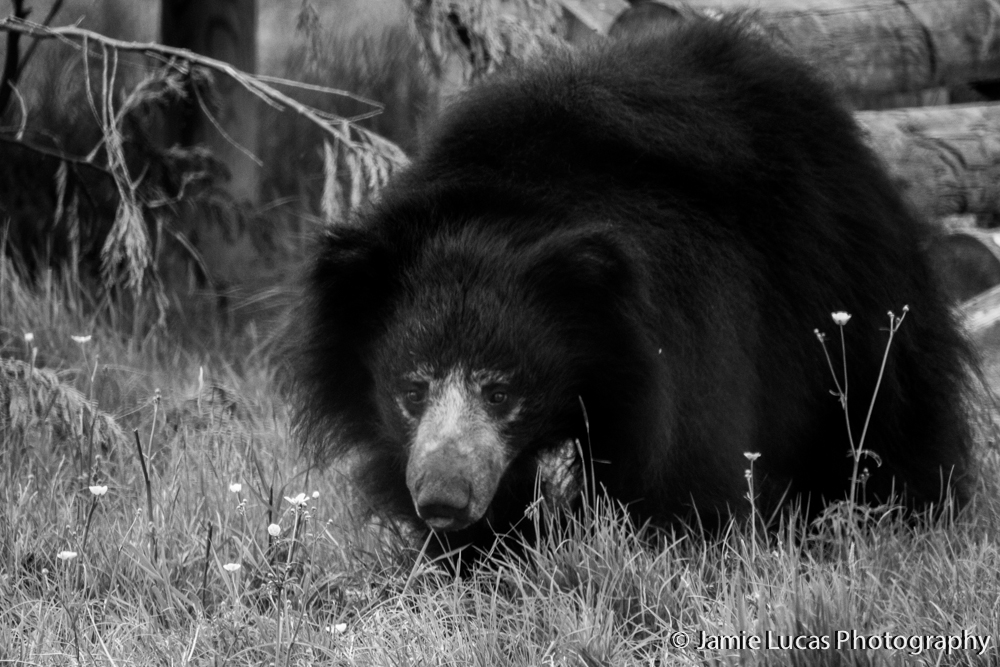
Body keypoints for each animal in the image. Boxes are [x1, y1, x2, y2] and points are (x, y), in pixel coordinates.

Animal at [291, 18, 974, 554]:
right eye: (412, 389)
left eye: (501, 392)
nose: (443, 500)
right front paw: (480, 554)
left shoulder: (688, 327)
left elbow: (684, 459)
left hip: (847, 282)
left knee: (884, 407)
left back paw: (903, 513)